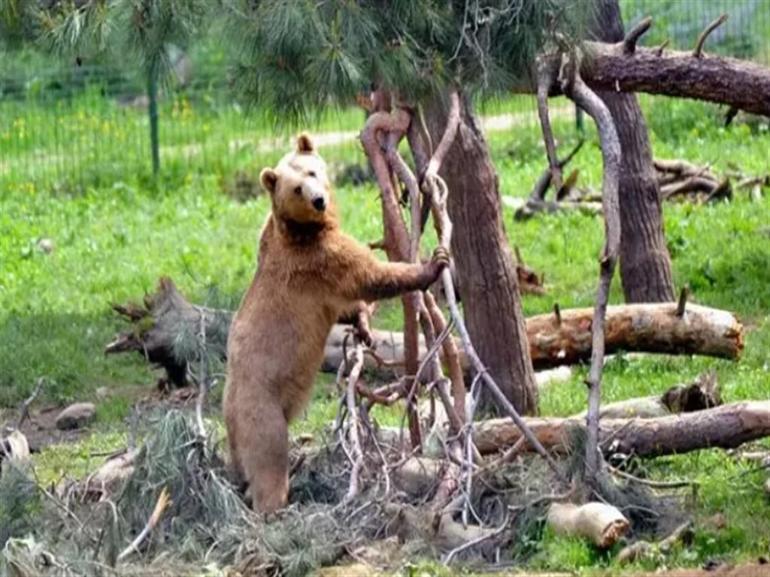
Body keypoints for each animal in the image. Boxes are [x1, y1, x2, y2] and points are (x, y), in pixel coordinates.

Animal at [225, 133, 448, 510]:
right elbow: (369, 274)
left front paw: (363, 327)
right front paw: (433, 262)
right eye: (296, 188)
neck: (303, 229)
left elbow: (345, 306)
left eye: (313, 171)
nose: (318, 200)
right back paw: (276, 503)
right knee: (269, 458)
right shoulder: (318, 259)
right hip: (261, 409)